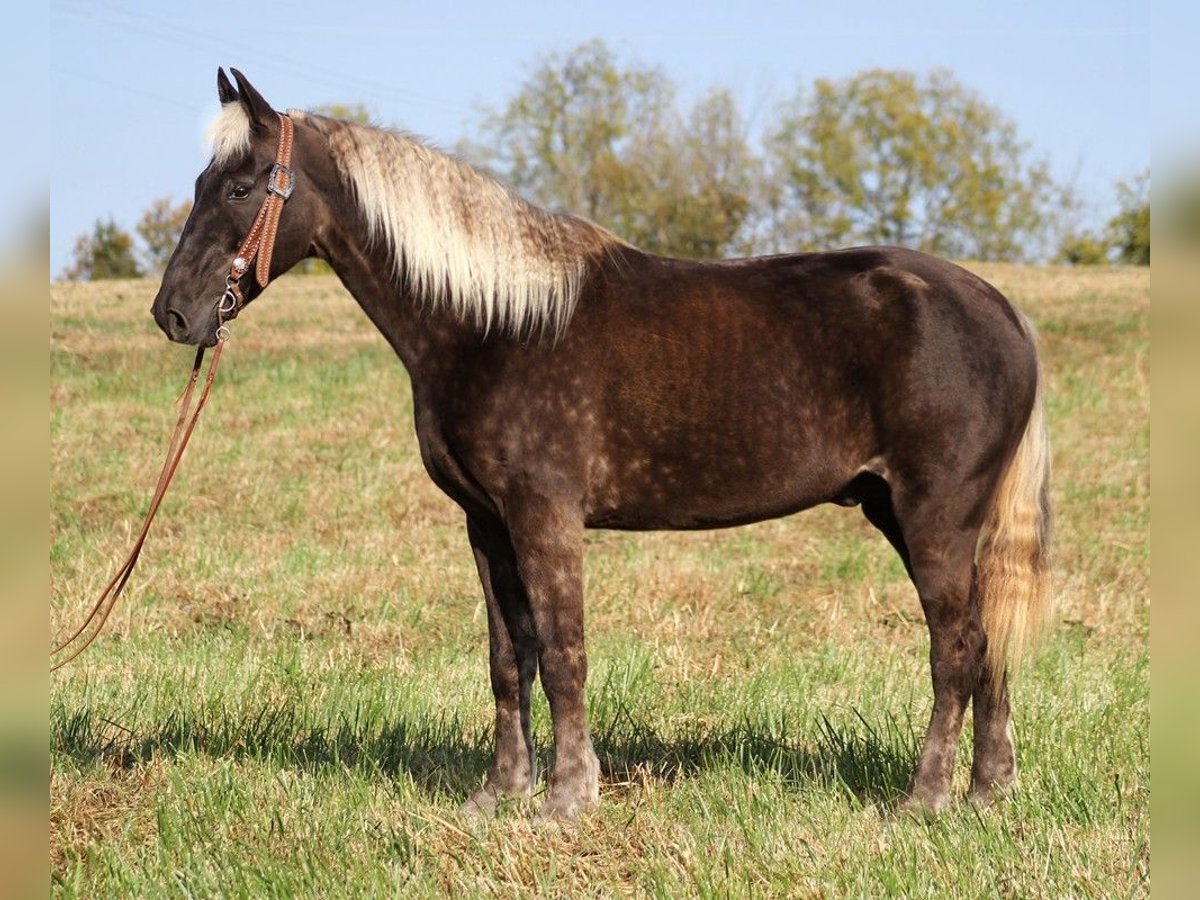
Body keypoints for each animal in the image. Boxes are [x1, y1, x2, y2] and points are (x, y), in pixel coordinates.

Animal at [150, 68, 1051, 830]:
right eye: (199, 183)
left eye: (239, 186)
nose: (175, 314)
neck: (494, 323)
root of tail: (998, 307)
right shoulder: (488, 525)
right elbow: (508, 657)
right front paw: (500, 794)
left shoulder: (545, 517)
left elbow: (562, 651)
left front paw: (566, 799)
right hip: (907, 514)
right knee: (987, 638)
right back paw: (987, 792)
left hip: (933, 516)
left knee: (955, 647)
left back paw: (924, 800)